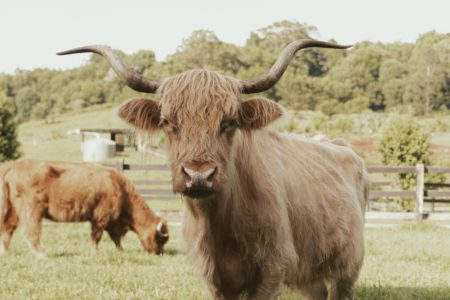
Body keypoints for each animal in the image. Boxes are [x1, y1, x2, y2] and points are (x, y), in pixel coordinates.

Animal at [0, 159, 169, 258]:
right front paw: (95, 253)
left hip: (13, 212)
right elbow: (97, 236)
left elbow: (115, 238)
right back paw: (42, 254)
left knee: (7, 230)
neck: (119, 187)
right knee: (31, 232)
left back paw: (6, 253)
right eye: (160, 238)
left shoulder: (111, 223)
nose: (159, 253)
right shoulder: (100, 219)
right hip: (32, 212)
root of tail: (14, 165)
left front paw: (120, 251)